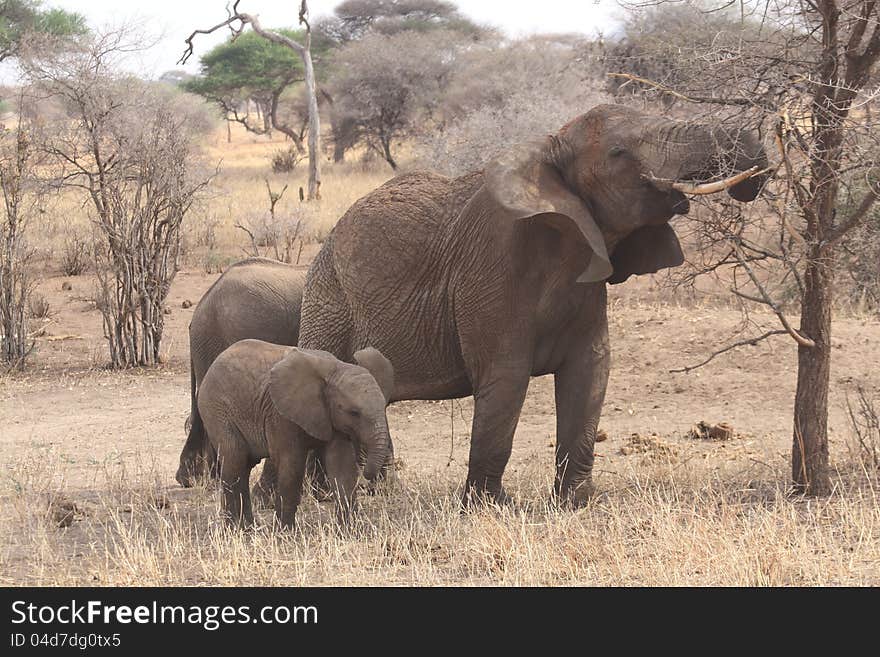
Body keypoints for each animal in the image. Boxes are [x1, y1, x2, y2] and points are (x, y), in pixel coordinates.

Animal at [199, 338, 396, 528]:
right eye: (354, 413)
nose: (368, 480)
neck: (335, 369)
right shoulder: (280, 415)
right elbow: (292, 466)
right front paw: (285, 533)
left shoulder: (333, 419)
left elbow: (342, 466)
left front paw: (350, 531)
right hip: (216, 409)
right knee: (235, 460)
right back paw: (236, 528)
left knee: (244, 465)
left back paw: (249, 527)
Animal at [300, 102, 768, 504]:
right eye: (619, 152)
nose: (752, 173)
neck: (550, 153)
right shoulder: (492, 268)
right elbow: (507, 378)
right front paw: (489, 508)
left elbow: (590, 371)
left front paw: (578, 502)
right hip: (328, 300)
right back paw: (325, 497)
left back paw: (377, 492)